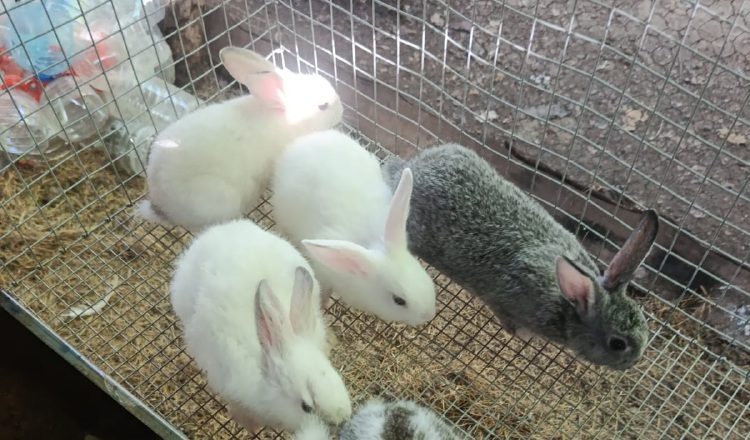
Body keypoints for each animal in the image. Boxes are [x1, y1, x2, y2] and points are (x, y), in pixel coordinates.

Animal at [382, 144, 659, 370]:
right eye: (617, 343)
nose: (633, 363)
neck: (567, 306)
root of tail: (416, 165)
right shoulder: (508, 304)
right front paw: (526, 336)